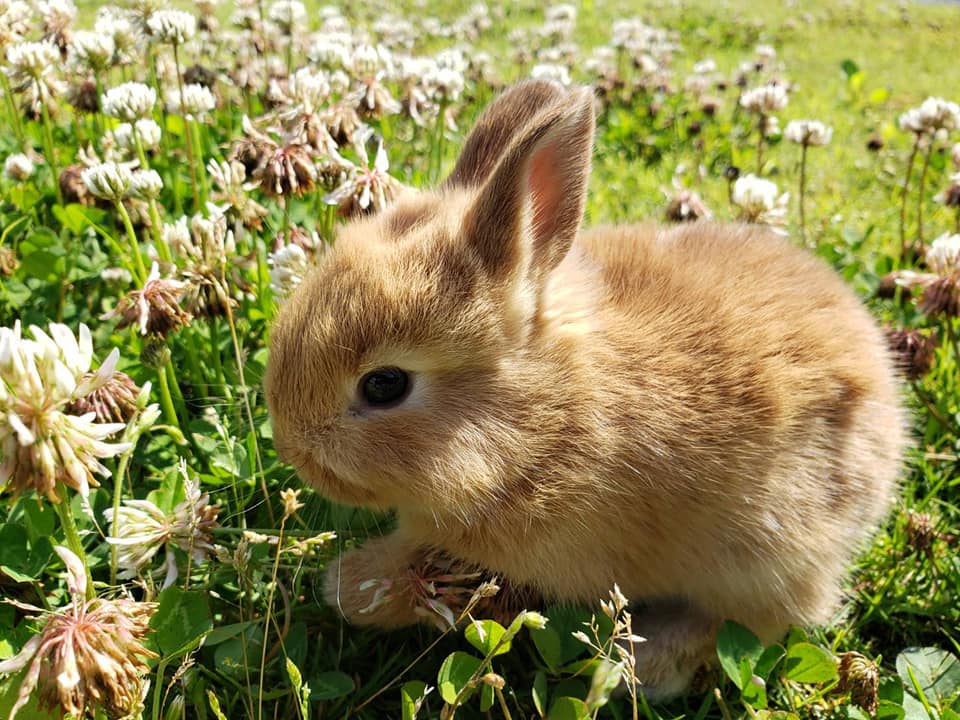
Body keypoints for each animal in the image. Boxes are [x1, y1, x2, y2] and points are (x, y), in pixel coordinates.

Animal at [264, 81, 908, 700]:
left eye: (385, 384)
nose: (294, 450)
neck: (546, 419)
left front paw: (348, 587)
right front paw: (349, 582)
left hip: (772, 556)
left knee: (750, 623)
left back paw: (643, 668)